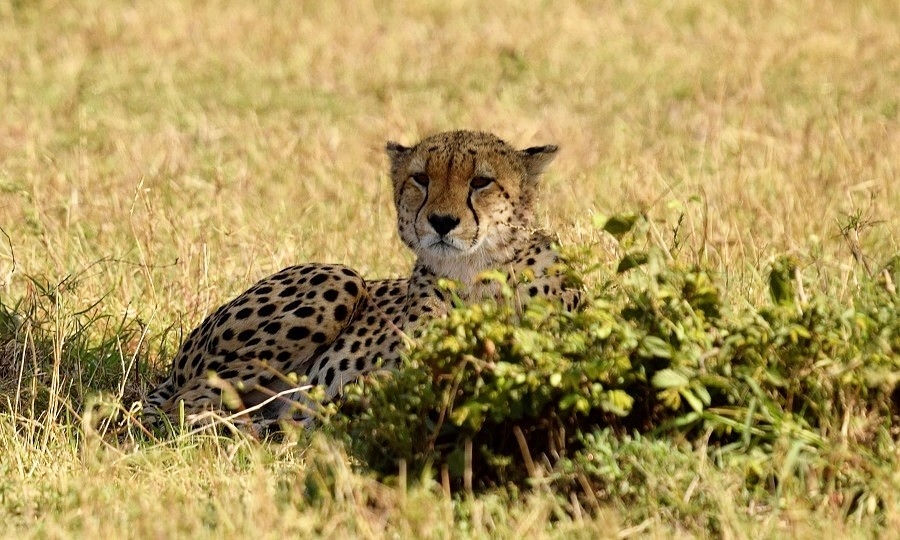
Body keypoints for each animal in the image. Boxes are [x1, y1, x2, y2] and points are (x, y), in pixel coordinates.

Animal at [143, 131, 580, 430]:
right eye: (421, 179)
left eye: (481, 182)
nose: (441, 221)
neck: (474, 272)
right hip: (341, 279)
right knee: (184, 403)